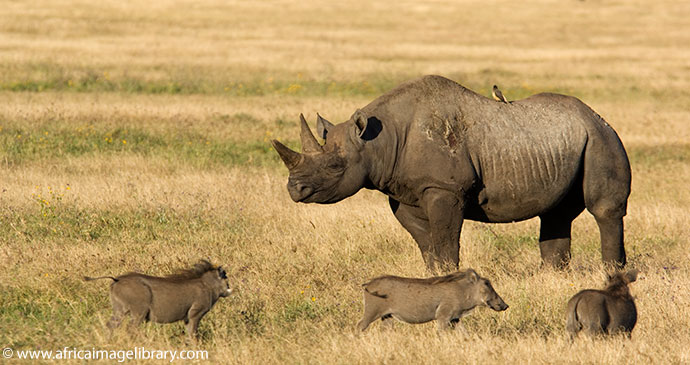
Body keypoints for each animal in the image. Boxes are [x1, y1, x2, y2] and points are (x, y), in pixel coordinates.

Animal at [270, 74, 628, 270]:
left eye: (335, 166)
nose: (294, 190)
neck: (378, 142)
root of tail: (595, 114)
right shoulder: (404, 195)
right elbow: (427, 243)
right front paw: (434, 279)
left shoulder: (444, 189)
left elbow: (445, 239)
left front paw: (449, 280)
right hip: (562, 142)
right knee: (556, 212)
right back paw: (554, 275)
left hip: (600, 137)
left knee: (604, 209)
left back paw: (612, 274)